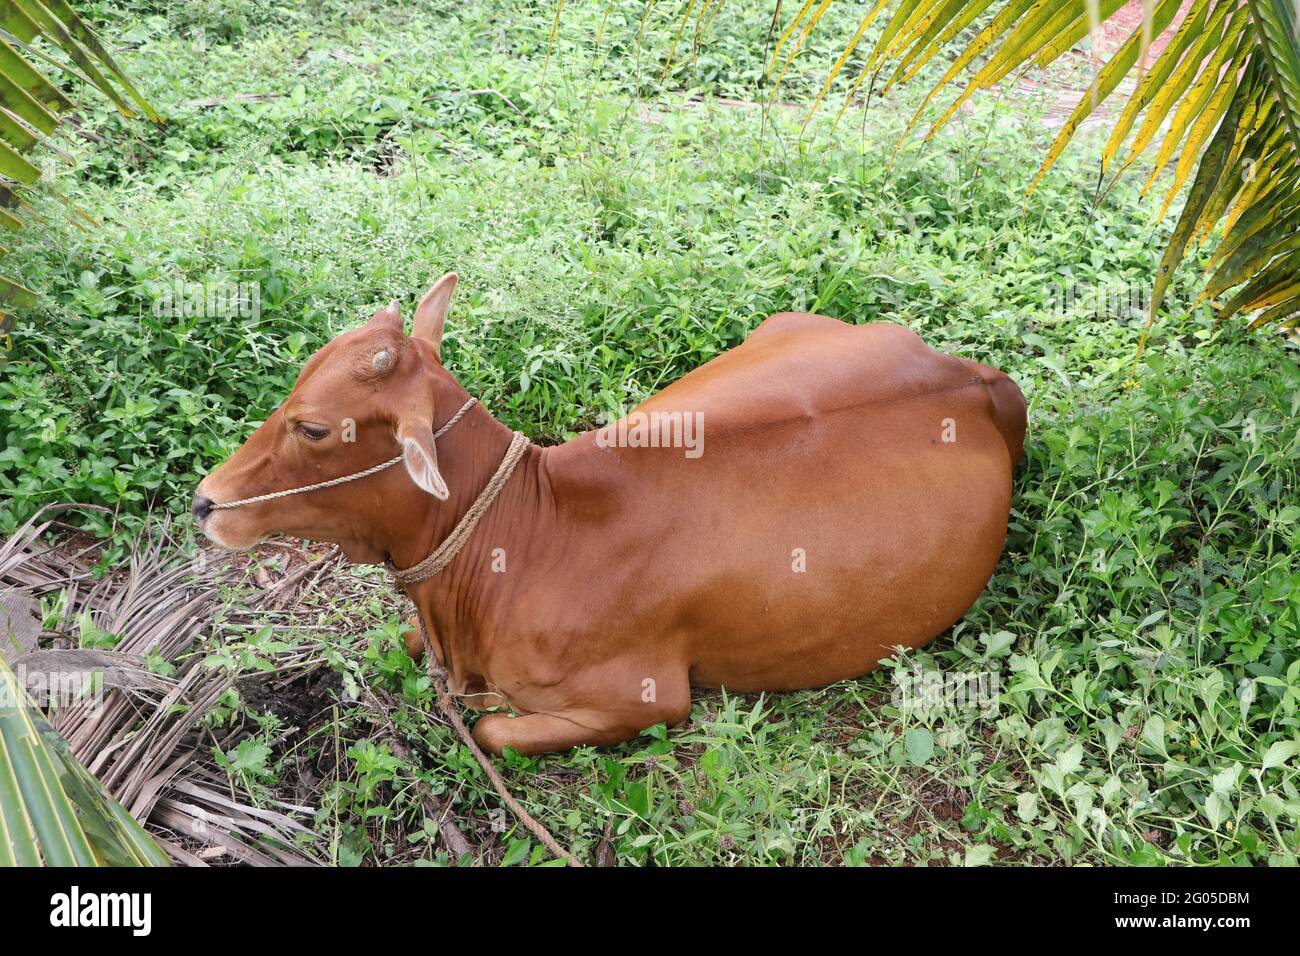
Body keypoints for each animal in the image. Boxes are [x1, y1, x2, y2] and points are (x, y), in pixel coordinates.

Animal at [194, 274, 1026, 755]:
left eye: (312, 428)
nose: (206, 501)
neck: (524, 538)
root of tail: (972, 377)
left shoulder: (644, 700)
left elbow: (491, 730)